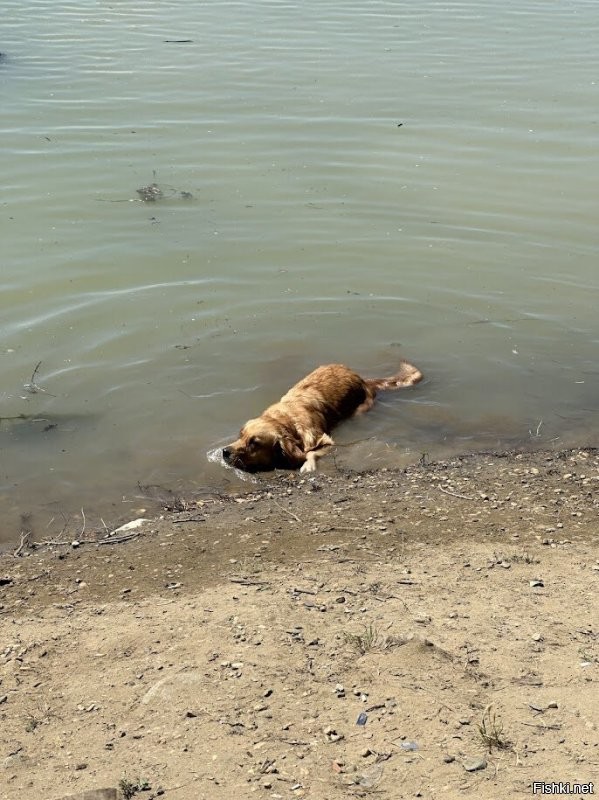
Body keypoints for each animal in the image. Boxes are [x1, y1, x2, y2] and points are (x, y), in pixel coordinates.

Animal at [223, 362, 424, 476]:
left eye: (254, 443)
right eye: (240, 435)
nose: (225, 451)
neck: (285, 421)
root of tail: (362, 379)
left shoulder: (325, 440)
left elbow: (310, 452)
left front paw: (308, 465)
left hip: (360, 409)